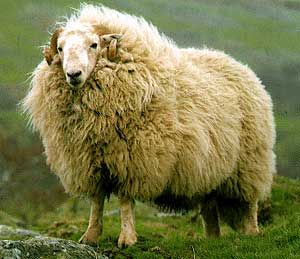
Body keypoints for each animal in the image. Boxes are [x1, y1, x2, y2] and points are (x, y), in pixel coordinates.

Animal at [23, 3, 276, 248]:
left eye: (94, 45)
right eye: (60, 48)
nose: (73, 74)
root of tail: (239, 65)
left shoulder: (131, 159)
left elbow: (125, 201)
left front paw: (127, 239)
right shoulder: (90, 162)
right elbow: (96, 202)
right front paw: (90, 236)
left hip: (249, 162)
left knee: (250, 203)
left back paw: (252, 232)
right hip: (210, 170)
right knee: (209, 207)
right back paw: (212, 238)